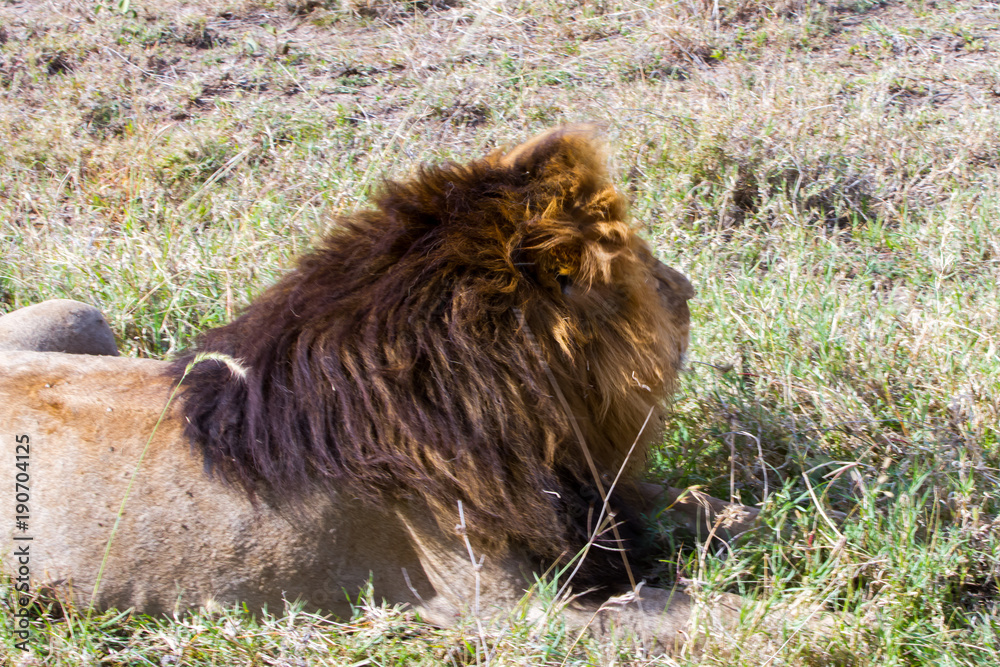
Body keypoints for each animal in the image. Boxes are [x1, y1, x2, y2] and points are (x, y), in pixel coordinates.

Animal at [1, 125, 762, 652]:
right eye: (645, 267)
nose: (691, 288)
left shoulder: (594, 492)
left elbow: (714, 507)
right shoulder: (505, 606)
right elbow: (701, 614)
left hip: (76, 312)